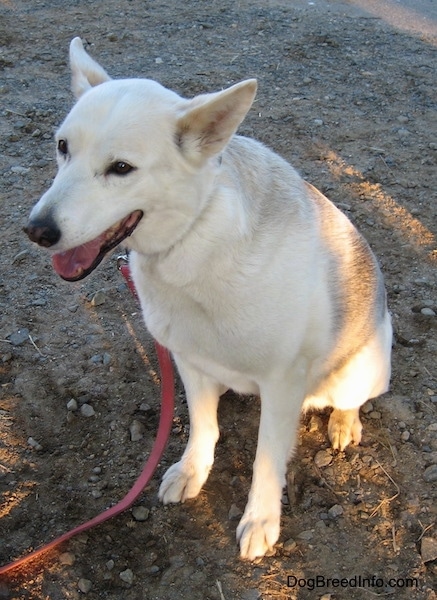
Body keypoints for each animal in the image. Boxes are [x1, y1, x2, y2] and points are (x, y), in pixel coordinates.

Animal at [25, 39, 390, 560]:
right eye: (62, 147)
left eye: (121, 168)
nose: (36, 230)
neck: (192, 241)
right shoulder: (188, 361)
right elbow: (204, 426)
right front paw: (192, 470)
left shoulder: (282, 382)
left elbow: (265, 460)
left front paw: (261, 518)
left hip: (361, 369)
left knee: (350, 400)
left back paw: (343, 422)